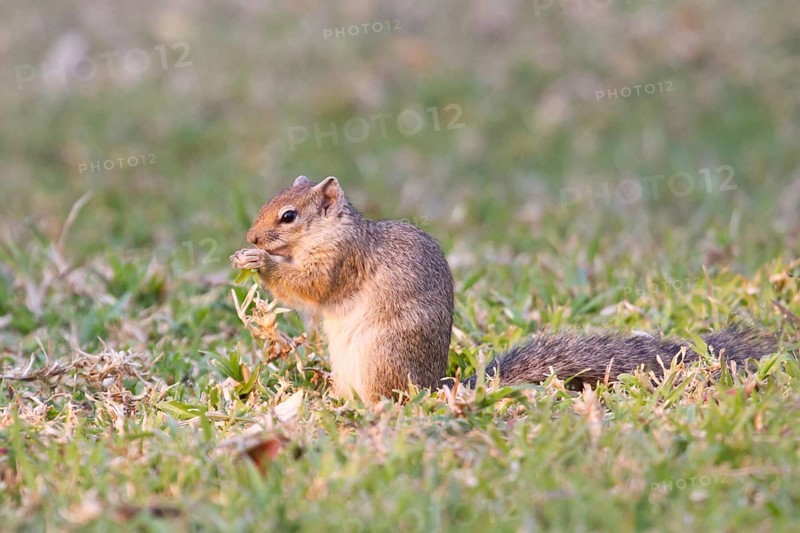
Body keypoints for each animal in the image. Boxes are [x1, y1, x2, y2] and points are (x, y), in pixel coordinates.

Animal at [230, 175, 777, 404]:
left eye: (288, 216)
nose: (251, 238)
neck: (333, 229)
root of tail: (432, 387)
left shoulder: (341, 259)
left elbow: (311, 284)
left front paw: (260, 263)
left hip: (381, 357)